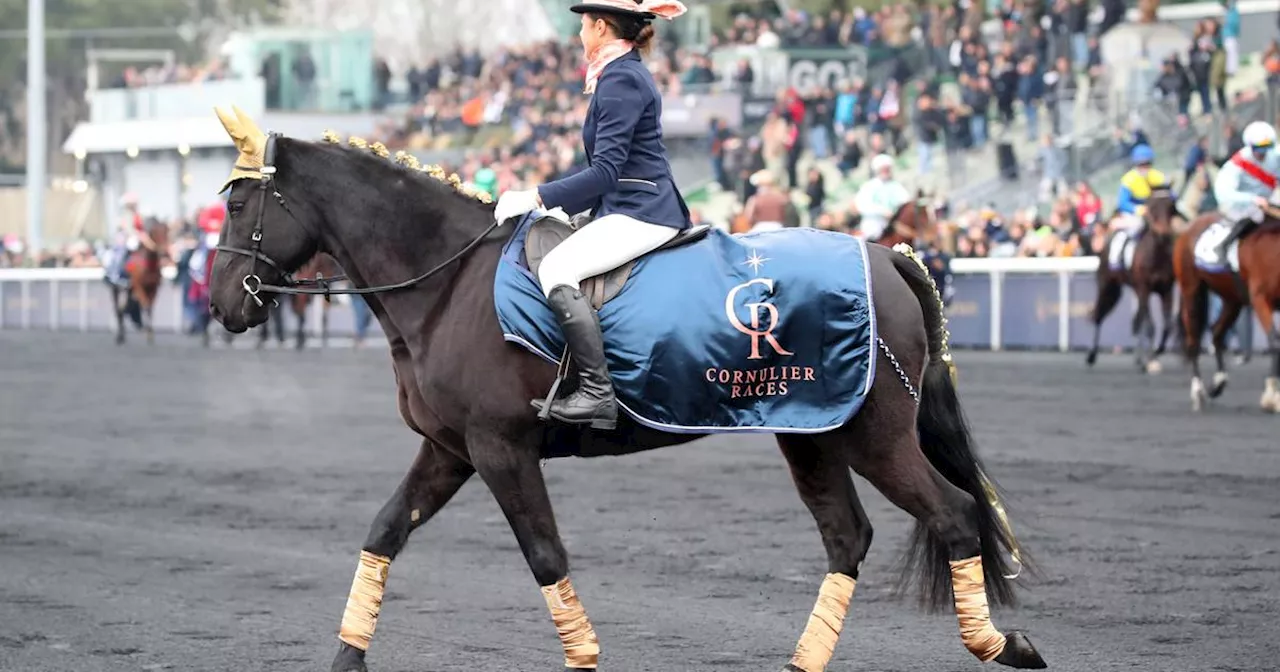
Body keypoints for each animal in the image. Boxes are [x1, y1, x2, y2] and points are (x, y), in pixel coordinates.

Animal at [204, 110, 1044, 670]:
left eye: (239, 205)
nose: (220, 304)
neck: (447, 280)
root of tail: (886, 253)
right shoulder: (452, 450)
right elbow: (385, 532)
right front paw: (348, 656)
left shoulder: (501, 450)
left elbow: (545, 556)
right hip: (813, 431)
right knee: (848, 538)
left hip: (874, 435)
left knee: (955, 517)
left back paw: (1004, 645)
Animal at [1085, 188, 1182, 371]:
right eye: (1151, 208)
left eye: (1171, 207)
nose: (1163, 235)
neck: (1155, 254)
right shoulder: (1144, 288)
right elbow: (1150, 326)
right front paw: (1152, 359)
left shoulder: (1165, 290)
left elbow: (1167, 325)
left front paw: (1156, 353)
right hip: (1108, 288)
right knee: (1098, 316)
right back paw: (1091, 356)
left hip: (1131, 291)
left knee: (1137, 321)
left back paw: (1139, 359)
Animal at [1172, 204, 1280, 412]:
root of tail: (1191, 225)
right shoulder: (1260, 299)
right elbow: (1275, 341)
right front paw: (1272, 397)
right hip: (1192, 291)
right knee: (1193, 340)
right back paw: (1198, 392)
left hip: (1232, 299)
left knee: (1216, 332)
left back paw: (1218, 383)